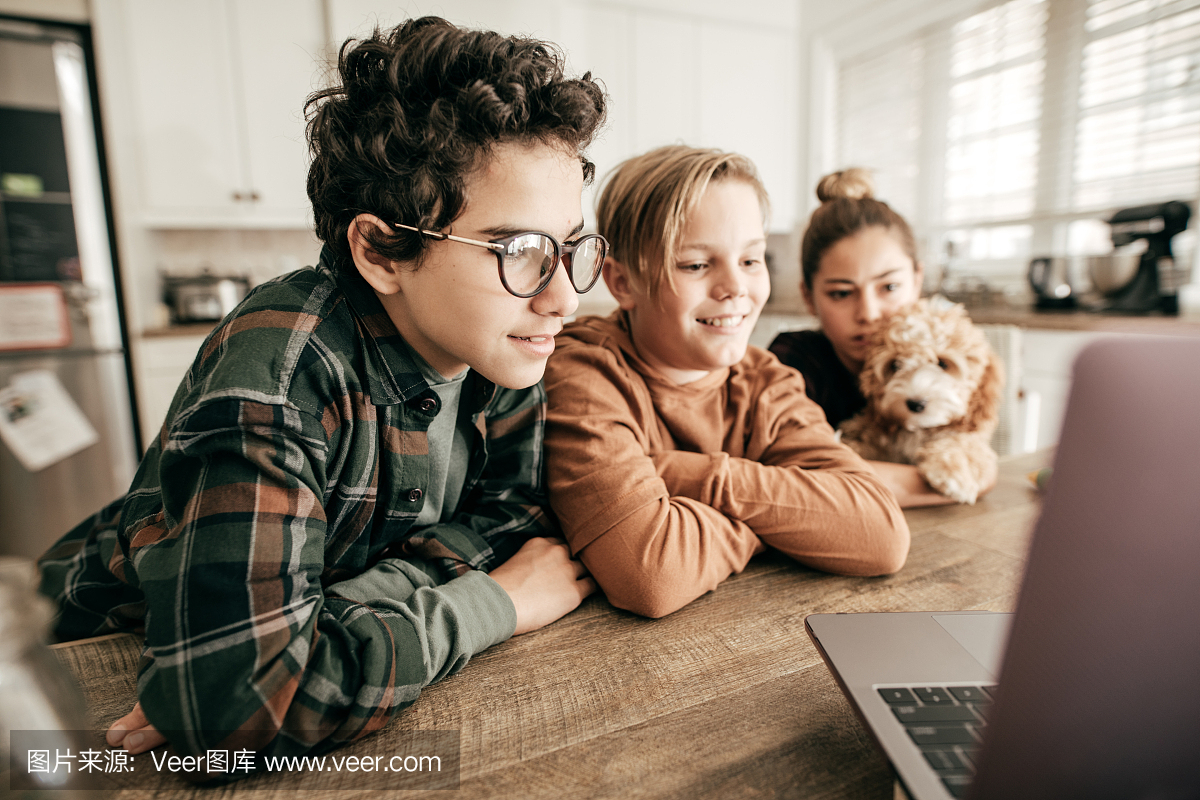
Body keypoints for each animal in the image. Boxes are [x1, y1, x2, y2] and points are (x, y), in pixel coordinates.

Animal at [840, 297, 998, 503]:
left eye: (942, 363)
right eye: (895, 365)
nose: (916, 403)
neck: (919, 431)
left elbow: (966, 445)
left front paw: (954, 471)